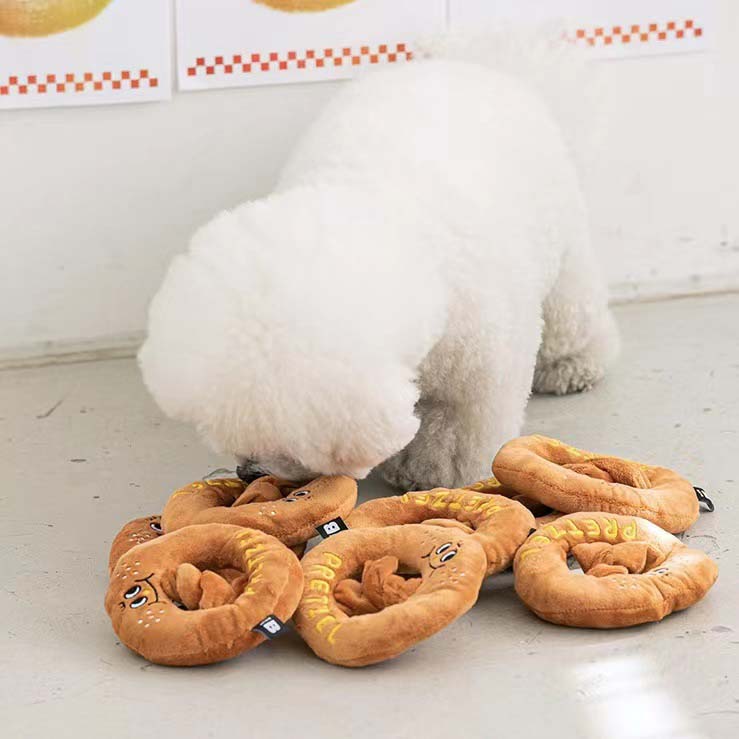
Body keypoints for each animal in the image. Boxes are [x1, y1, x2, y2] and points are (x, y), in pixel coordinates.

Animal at [139, 27, 620, 492]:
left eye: (286, 448)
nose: (248, 472)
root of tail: (486, 65)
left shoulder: (483, 361)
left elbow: (462, 422)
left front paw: (433, 469)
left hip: (562, 238)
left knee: (569, 309)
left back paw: (570, 364)